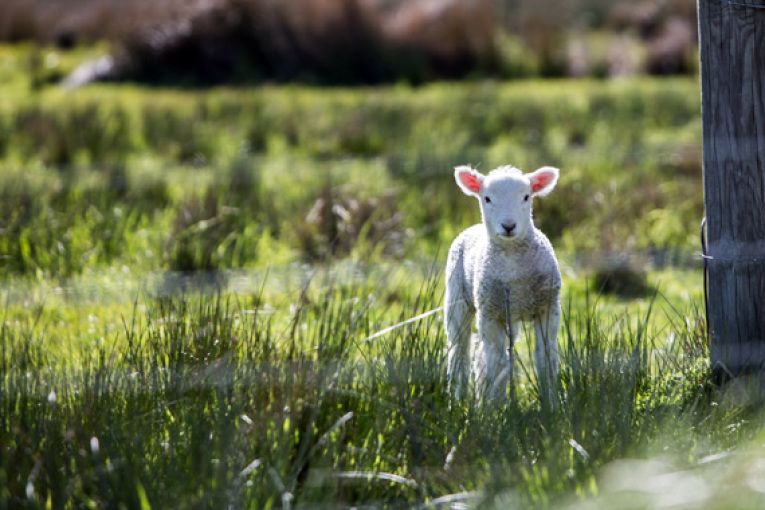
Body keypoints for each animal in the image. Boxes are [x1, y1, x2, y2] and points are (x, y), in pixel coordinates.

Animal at [442, 165, 560, 404]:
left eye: (526, 197)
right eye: (487, 198)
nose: (508, 226)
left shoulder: (548, 307)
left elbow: (545, 359)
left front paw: (552, 406)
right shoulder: (490, 313)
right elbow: (498, 363)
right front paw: (495, 409)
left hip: (508, 314)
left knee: (481, 356)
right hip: (458, 298)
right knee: (460, 352)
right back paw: (458, 401)